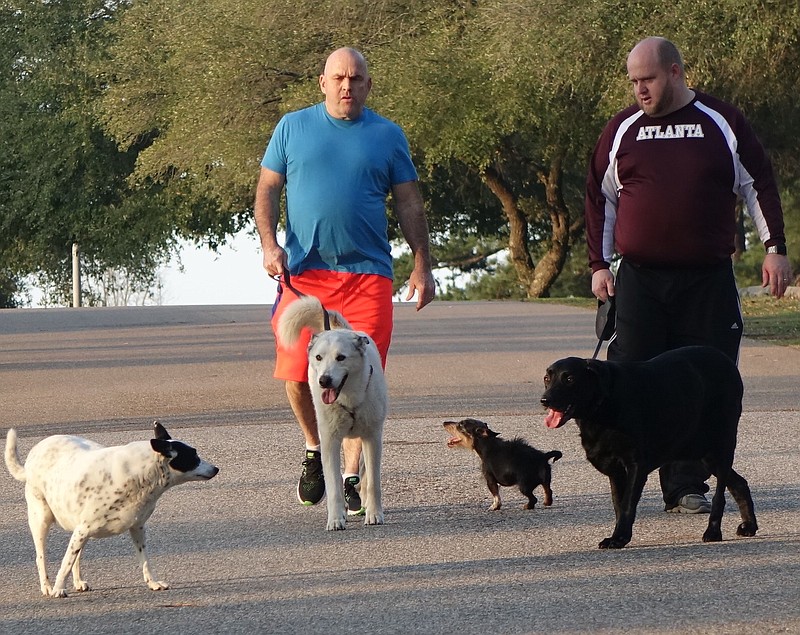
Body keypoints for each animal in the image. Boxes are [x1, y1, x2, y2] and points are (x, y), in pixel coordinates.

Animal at [6, 424, 220, 600]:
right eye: (193, 456)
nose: (216, 469)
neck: (142, 474)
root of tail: (35, 452)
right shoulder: (83, 530)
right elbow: (65, 562)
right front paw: (59, 588)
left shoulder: (137, 529)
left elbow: (145, 561)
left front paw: (152, 583)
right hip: (41, 521)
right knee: (41, 557)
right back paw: (47, 586)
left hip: (79, 530)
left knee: (77, 556)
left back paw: (78, 582)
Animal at [276, 294, 386, 532]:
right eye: (319, 357)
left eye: (341, 358)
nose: (324, 380)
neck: (349, 399)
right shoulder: (330, 440)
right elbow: (334, 485)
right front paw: (336, 519)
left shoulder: (372, 437)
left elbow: (373, 482)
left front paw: (374, 514)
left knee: (363, 471)